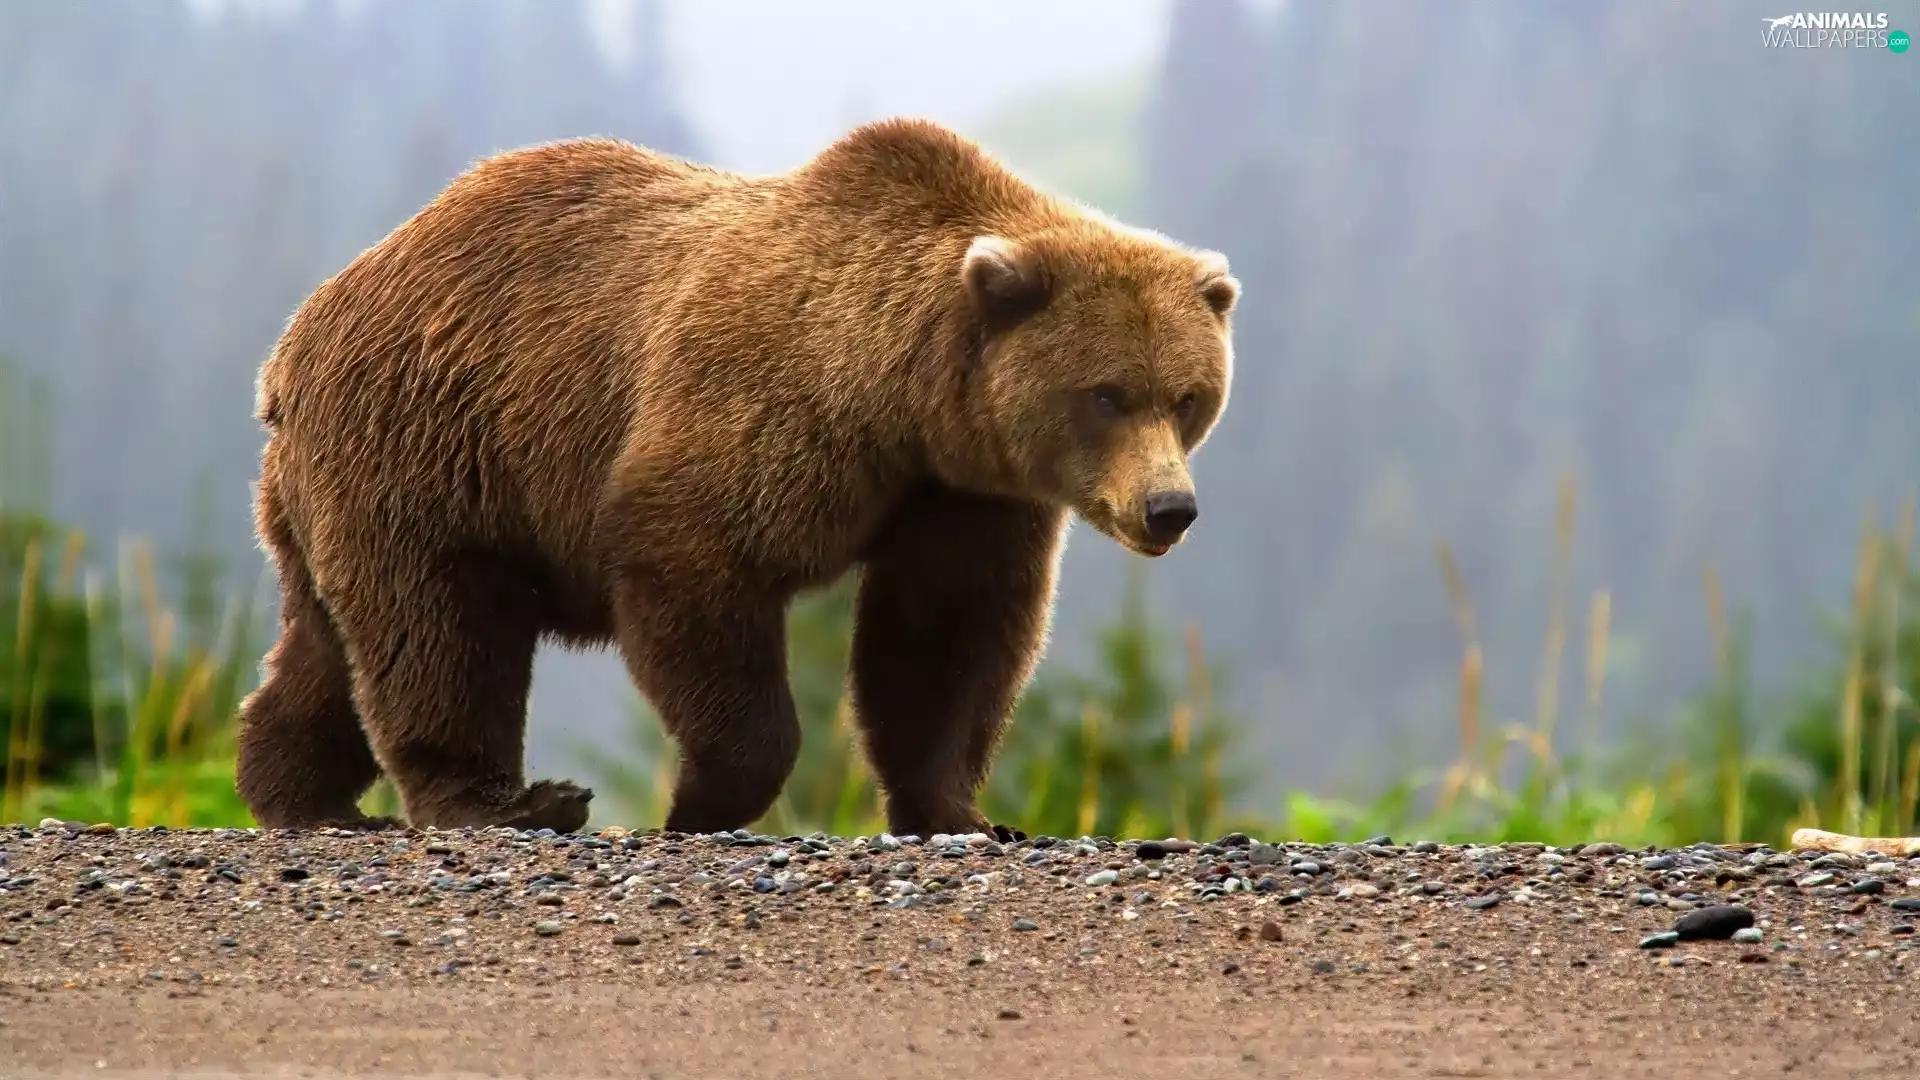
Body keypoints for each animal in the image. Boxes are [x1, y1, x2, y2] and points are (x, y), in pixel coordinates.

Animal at [233, 117, 1239, 839]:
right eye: (1105, 394)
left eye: (1189, 396)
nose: (1170, 508)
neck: (902, 399)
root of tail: (298, 336)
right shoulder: (764, 407)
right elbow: (695, 563)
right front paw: (701, 801)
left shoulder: (963, 492)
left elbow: (946, 637)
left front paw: (963, 812)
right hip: (434, 441)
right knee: (440, 628)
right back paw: (507, 801)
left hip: (340, 484)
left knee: (329, 643)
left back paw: (299, 793)